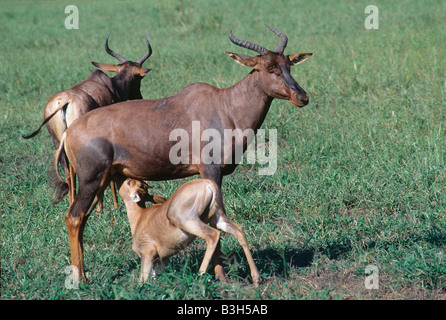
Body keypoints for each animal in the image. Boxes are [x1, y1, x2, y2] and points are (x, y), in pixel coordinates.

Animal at [24, 35, 153, 208]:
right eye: (139, 77)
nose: (139, 97)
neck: (111, 85)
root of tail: (63, 102)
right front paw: (113, 205)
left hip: (58, 141)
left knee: (68, 171)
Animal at [116, 178, 260, 284]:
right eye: (142, 185)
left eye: (133, 183)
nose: (126, 178)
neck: (142, 216)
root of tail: (208, 184)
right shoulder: (161, 261)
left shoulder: (148, 255)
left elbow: (142, 282)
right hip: (218, 218)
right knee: (238, 230)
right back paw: (256, 279)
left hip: (189, 221)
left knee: (213, 235)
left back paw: (199, 277)